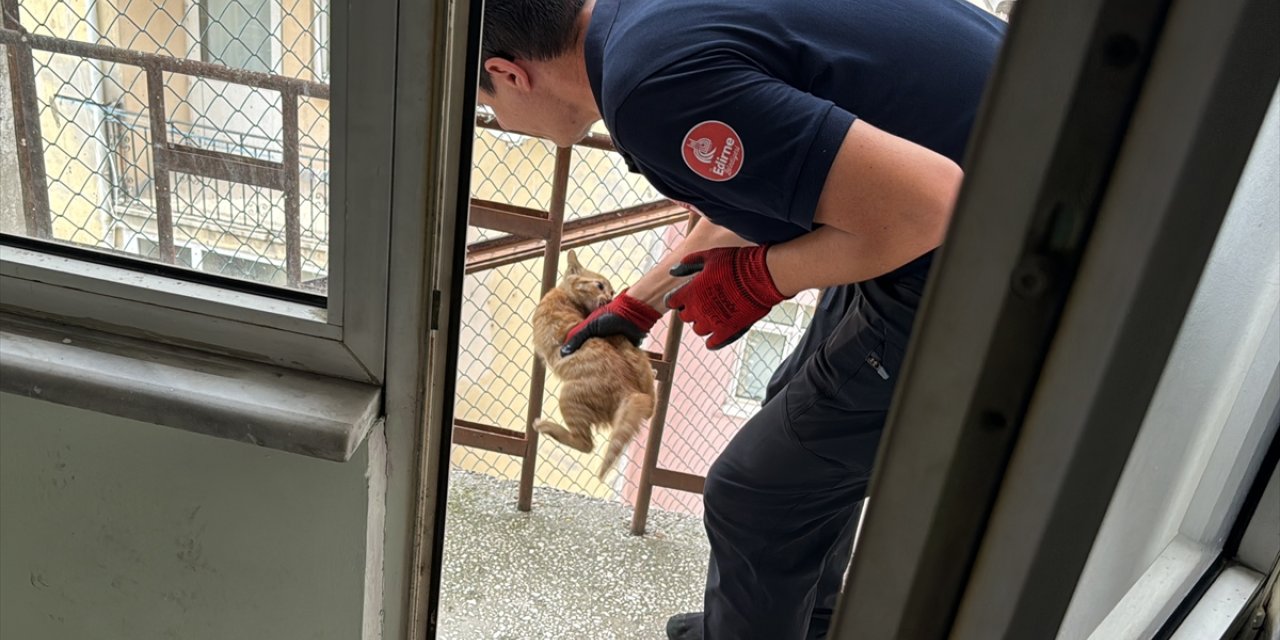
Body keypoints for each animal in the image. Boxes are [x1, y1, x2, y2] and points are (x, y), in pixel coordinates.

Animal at [529, 249, 655, 481]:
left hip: (568, 396)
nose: (610, 299)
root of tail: (630, 391)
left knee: (585, 444)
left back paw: (546, 426)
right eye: (600, 286)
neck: (566, 296)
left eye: (612, 291)